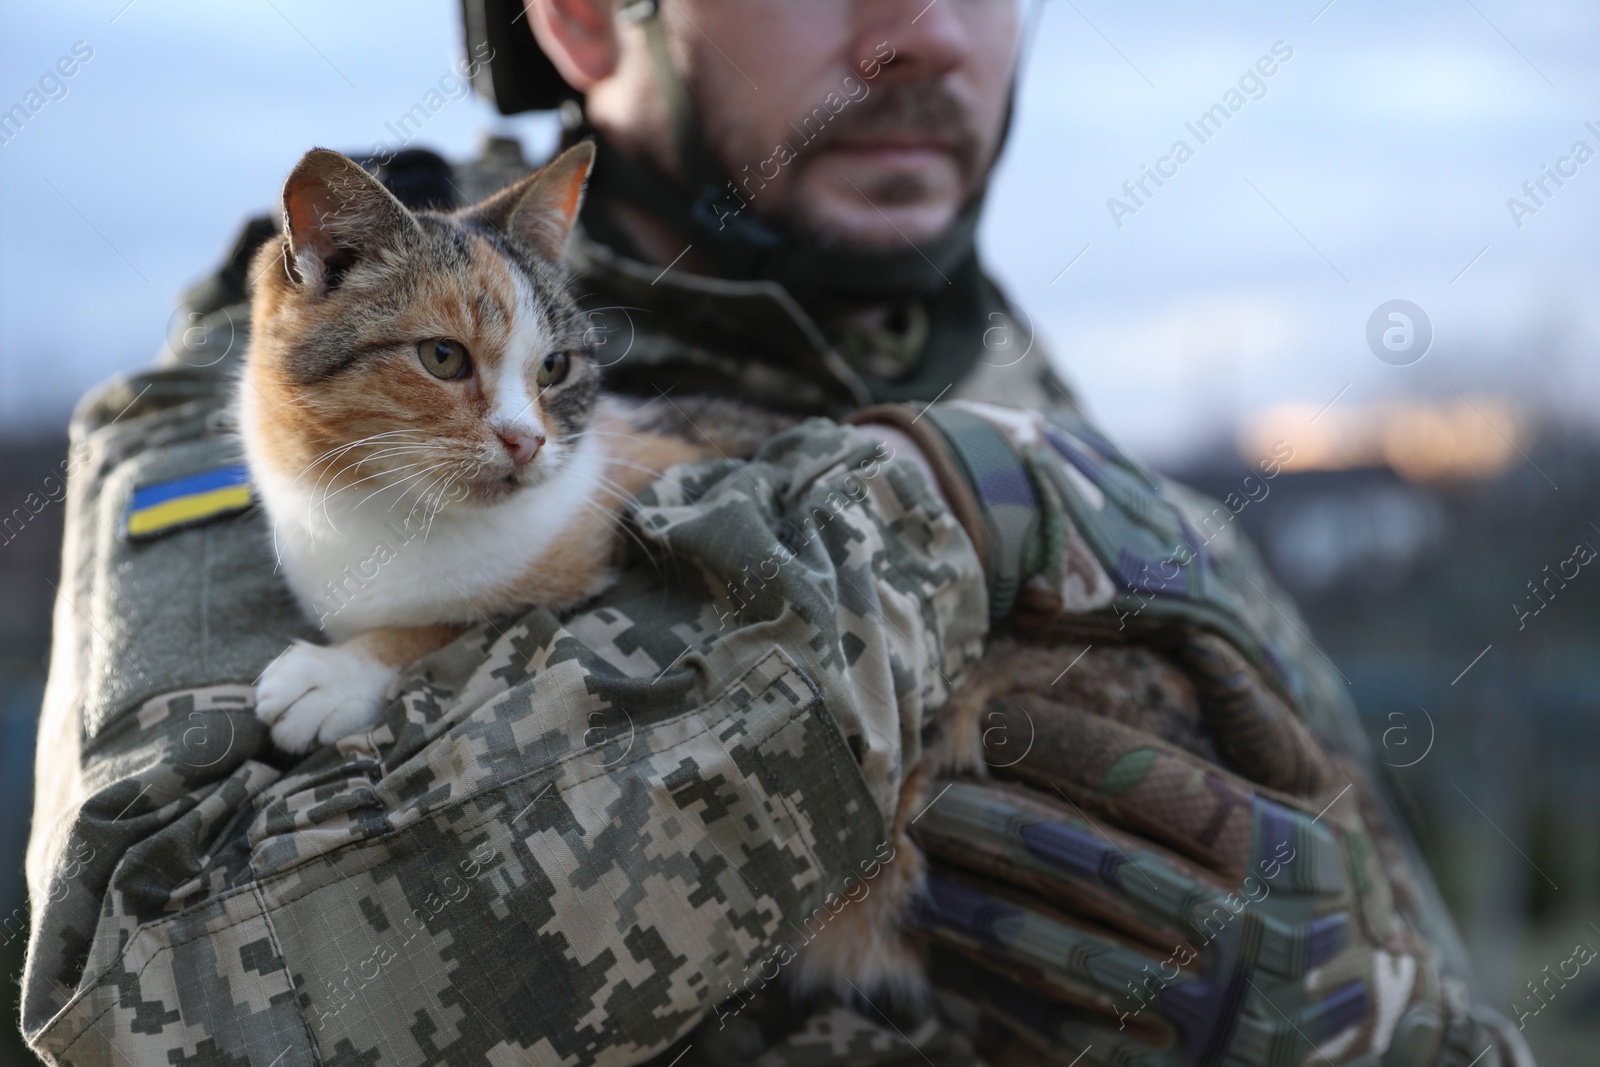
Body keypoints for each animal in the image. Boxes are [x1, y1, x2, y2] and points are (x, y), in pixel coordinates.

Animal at [236, 141, 736, 755]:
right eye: (443, 356)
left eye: (554, 367)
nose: (528, 441)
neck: (386, 514)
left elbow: (463, 622)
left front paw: (338, 674)